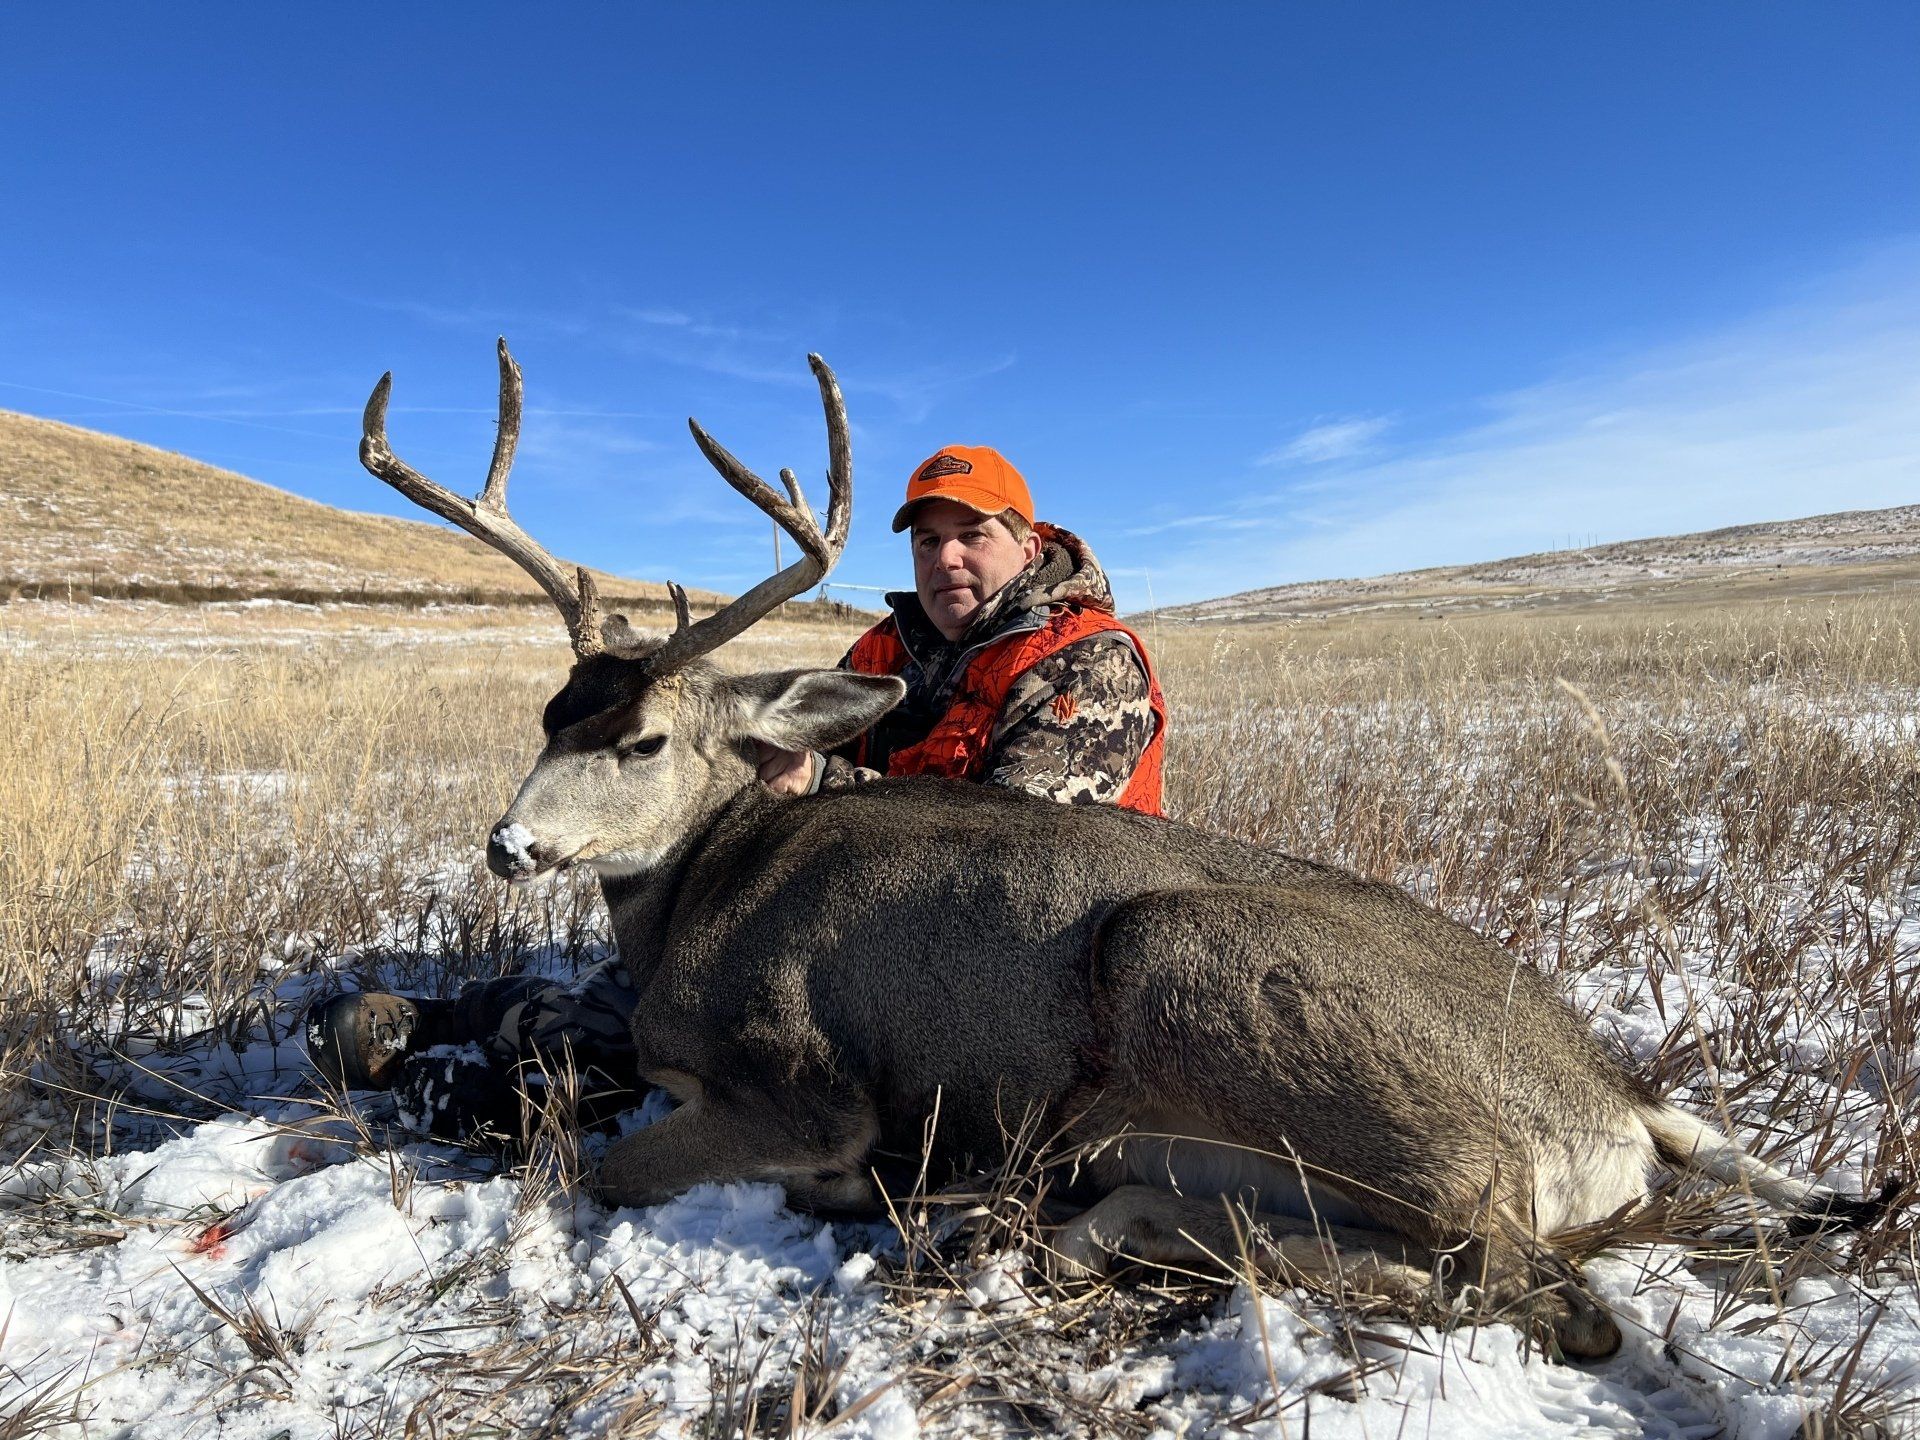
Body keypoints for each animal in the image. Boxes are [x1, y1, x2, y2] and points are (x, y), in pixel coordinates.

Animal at [358, 339, 1897, 1360]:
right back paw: (1062, 1226)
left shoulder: (804, 1083)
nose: (507, 843)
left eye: (641, 743)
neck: (703, 897)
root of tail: (1620, 1106)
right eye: (548, 712)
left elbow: (594, 1168)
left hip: (1188, 955)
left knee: (1537, 1292)